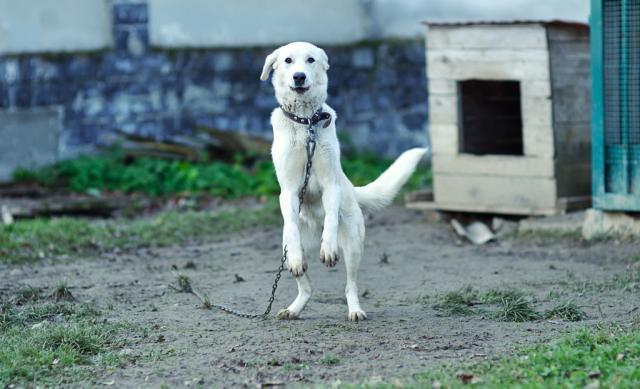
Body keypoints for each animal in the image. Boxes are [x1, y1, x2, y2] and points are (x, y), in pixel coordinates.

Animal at [258, 41, 428, 320]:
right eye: (288, 60)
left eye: (311, 60)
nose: (299, 76)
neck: (306, 122)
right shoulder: (289, 192)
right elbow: (291, 228)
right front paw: (297, 260)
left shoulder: (331, 185)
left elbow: (330, 220)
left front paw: (327, 247)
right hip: (289, 247)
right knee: (306, 284)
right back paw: (294, 308)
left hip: (353, 246)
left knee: (351, 285)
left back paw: (355, 310)